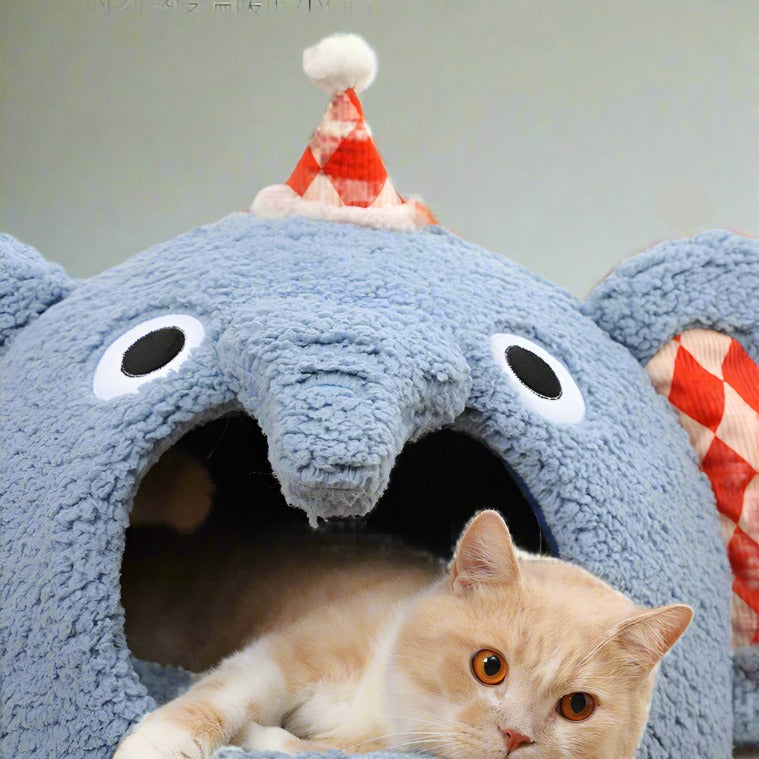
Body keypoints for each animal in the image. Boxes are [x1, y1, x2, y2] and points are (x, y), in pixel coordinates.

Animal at [114, 510, 696, 759]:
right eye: (490, 666)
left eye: (578, 706)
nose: (516, 736)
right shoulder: (284, 655)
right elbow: (224, 694)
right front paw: (154, 746)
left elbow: (308, 748)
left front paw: (263, 740)